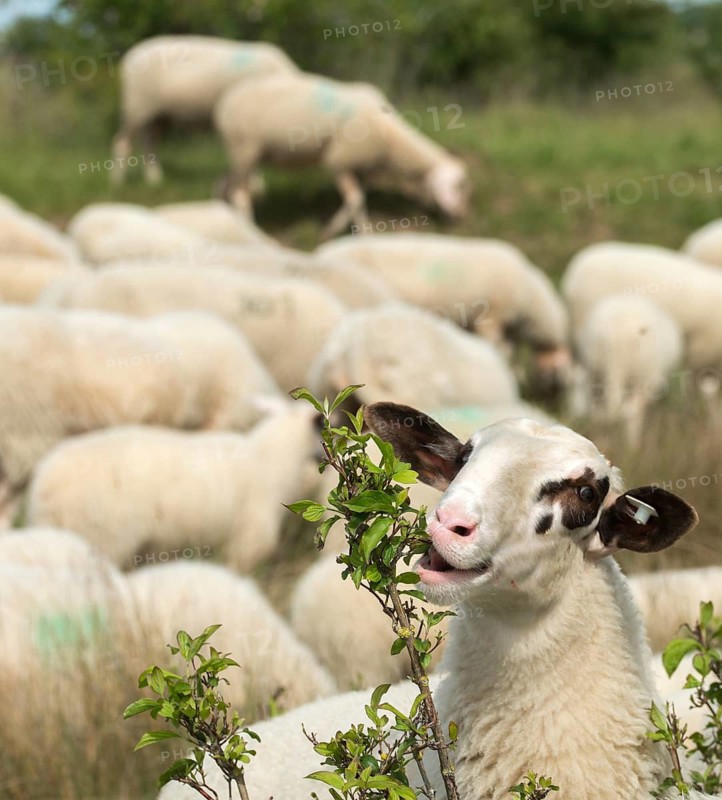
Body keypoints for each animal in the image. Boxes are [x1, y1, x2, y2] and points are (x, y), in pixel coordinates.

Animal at [111, 36, 297, 185]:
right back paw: (118, 181)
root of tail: (130, 57)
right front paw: (256, 183)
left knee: (149, 142)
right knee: (122, 142)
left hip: (158, 115)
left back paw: (154, 179)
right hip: (136, 107)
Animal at [213, 73, 469, 238]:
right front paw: (342, 232)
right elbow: (355, 199)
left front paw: (357, 232)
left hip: (244, 153)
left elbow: (358, 199)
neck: (389, 141)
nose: (461, 215)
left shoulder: (362, 167)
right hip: (245, 148)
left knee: (225, 183)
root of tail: (225, 102)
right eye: (456, 186)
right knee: (240, 193)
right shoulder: (339, 160)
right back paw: (249, 228)